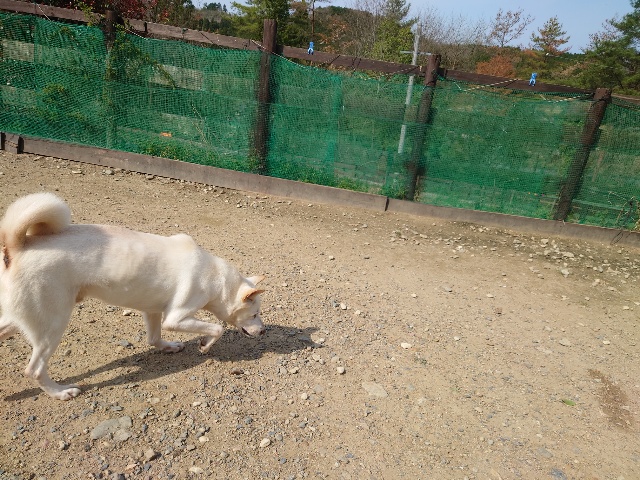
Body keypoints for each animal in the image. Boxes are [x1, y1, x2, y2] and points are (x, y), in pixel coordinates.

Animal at [0, 192, 266, 400]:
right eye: (255, 314)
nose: (263, 331)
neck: (216, 279)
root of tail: (18, 247)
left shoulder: (153, 310)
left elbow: (154, 339)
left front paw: (170, 347)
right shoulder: (176, 318)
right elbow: (217, 328)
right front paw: (205, 345)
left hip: (22, 317)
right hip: (53, 323)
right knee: (34, 369)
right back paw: (60, 392)